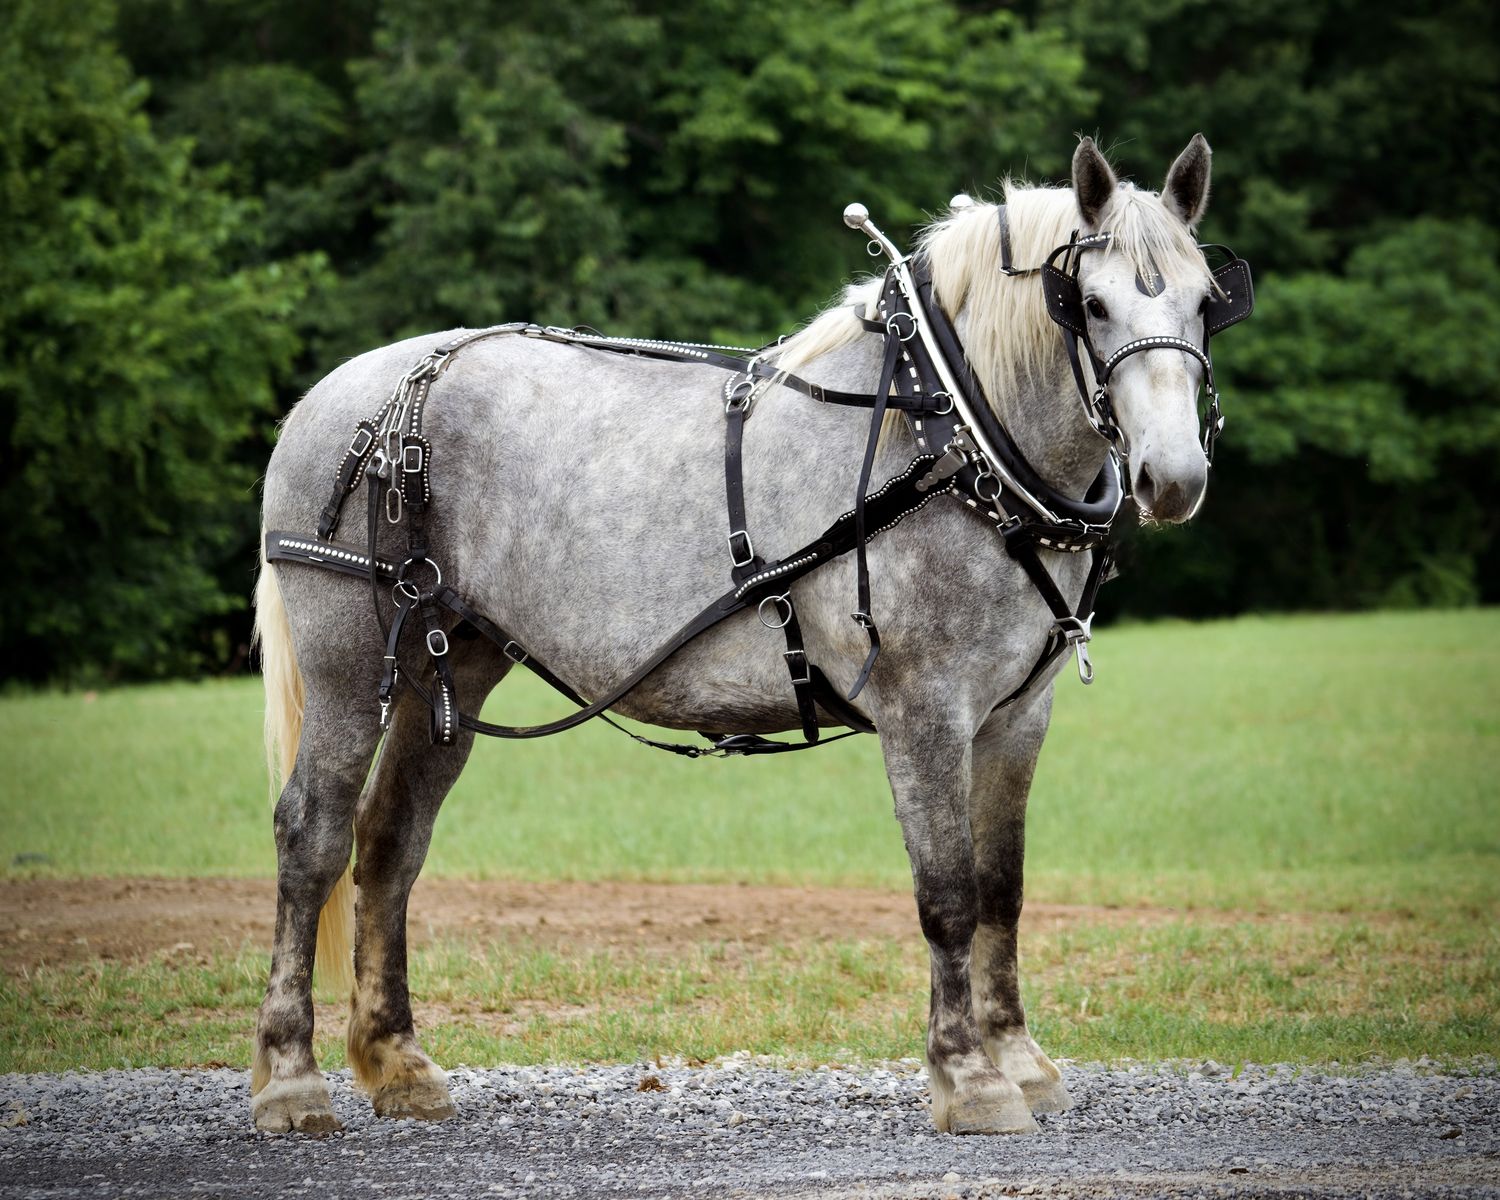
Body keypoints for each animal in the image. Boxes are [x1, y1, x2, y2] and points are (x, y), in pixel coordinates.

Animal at [250, 134, 1227, 1136]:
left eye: (1205, 301)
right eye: (1093, 305)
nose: (1174, 477)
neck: (947, 433)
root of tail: (353, 391)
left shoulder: (1015, 717)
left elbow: (1003, 889)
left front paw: (1021, 1060)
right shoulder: (925, 711)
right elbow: (948, 896)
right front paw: (969, 1076)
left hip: (453, 665)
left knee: (390, 841)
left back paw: (397, 1062)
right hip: (347, 665)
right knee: (312, 836)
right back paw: (291, 1077)